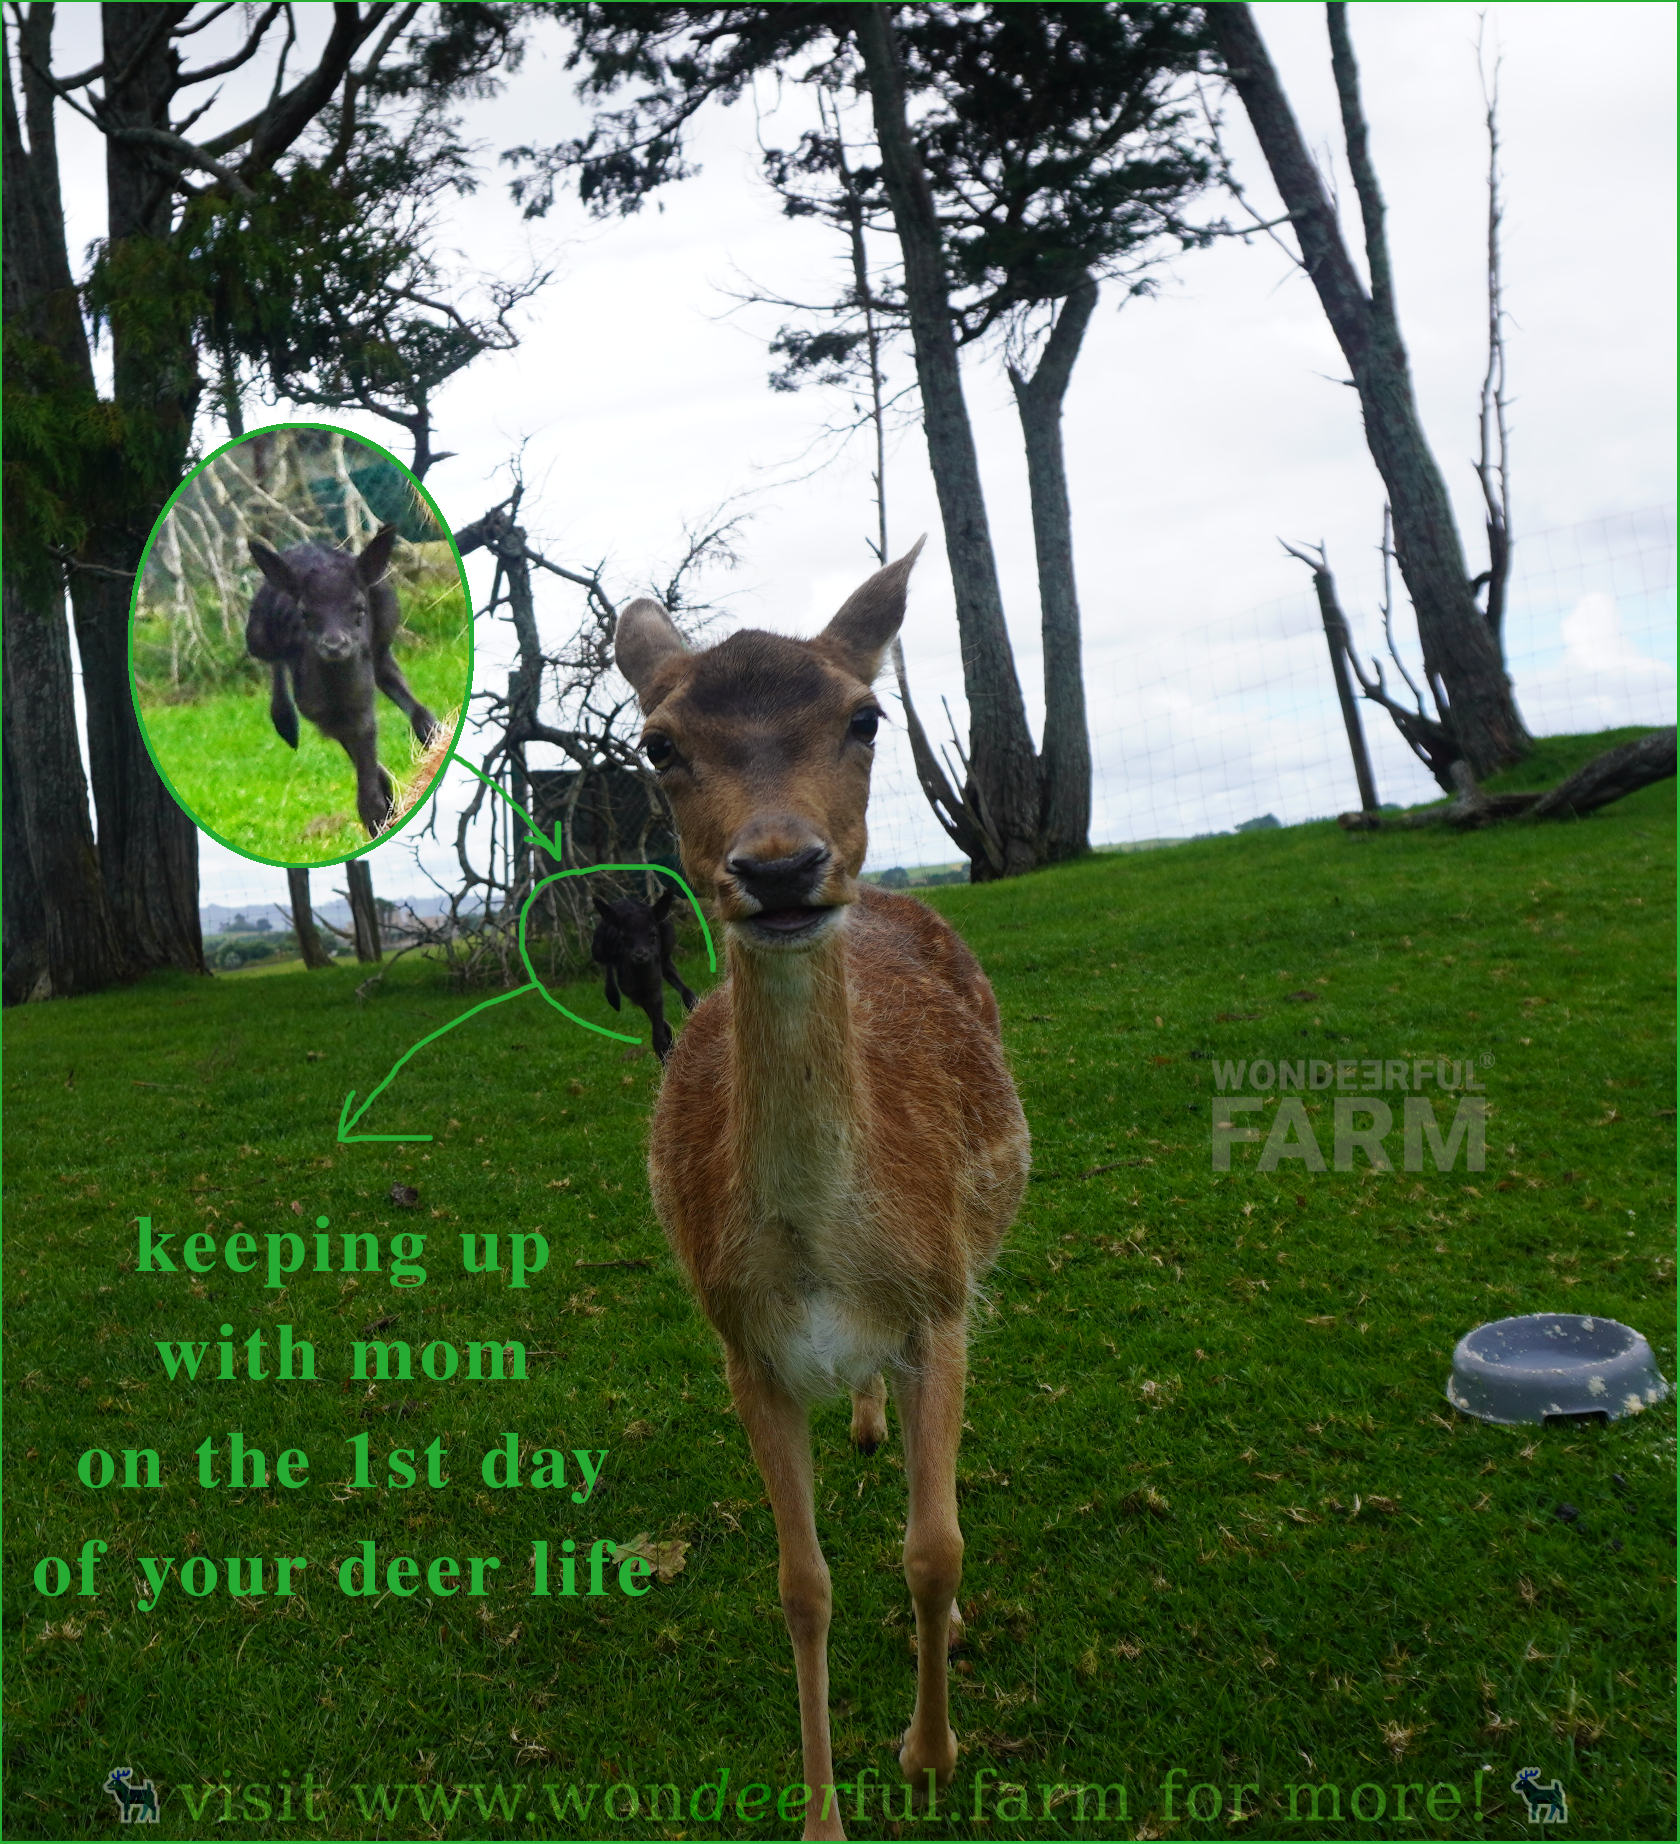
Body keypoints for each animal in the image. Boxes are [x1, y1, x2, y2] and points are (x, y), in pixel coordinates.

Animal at [245, 525, 438, 837]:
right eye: (305, 613)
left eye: (359, 608)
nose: (335, 645)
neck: (338, 697)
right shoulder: (317, 711)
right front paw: (385, 807)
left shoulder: (362, 706)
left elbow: (367, 765)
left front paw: (383, 811)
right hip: (257, 634)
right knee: (275, 660)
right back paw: (285, 724)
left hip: (386, 619)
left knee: (388, 670)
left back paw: (430, 730)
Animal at [614, 540, 1029, 1841]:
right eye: (658, 740)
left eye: (865, 714)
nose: (783, 865)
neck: (825, 1261)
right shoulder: (743, 1342)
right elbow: (802, 1583)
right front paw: (821, 1813)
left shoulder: (943, 1303)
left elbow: (935, 1545)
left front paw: (931, 1752)